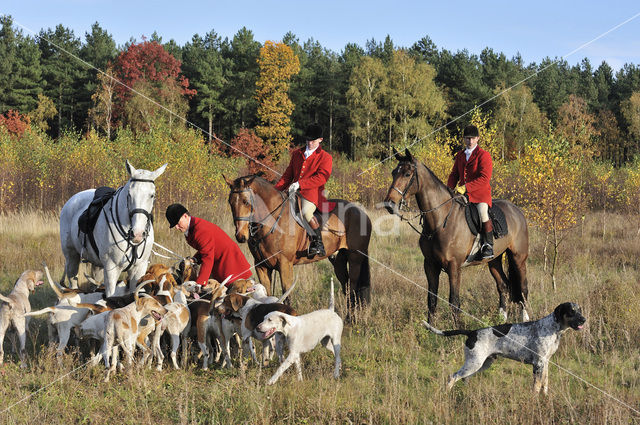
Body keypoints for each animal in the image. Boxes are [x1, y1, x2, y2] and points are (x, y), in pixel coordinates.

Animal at [225, 173, 372, 308]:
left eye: (246, 201)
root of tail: (361, 212)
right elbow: (266, 295)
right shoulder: (261, 266)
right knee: (346, 287)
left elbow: (287, 296)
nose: (241, 236)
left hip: (355, 258)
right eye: (230, 202)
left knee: (352, 289)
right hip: (338, 259)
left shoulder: (285, 265)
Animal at [382, 147, 528, 322]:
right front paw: (430, 327)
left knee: (523, 289)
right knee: (503, 286)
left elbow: (454, 302)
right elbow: (432, 300)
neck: (440, 220)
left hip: (519, 258)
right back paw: (501, 320)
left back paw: (525, 318)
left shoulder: (454, 267)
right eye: (393, 172)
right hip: (494, 260)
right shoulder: (430, 265)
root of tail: (517, 210)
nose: (389, 204)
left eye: (407, 174)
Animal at [422, 302, 588, 394]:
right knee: (453, 376)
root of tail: (472, 332)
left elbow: (544, 384)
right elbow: (536, 386)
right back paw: (446, 394)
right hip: (474, 363)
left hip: (483, 363)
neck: (553, 329)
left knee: (464, 378)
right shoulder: (538, 364)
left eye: (580, 309)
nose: (584, 319)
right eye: (572, 311)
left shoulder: (545, 363)